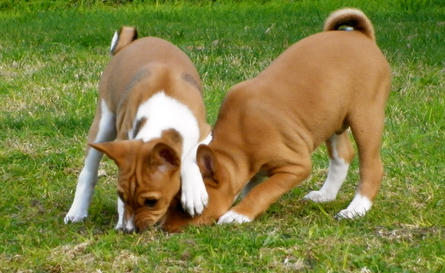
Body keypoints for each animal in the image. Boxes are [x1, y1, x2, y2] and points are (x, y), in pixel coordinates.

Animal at [63, 27, 212, 232]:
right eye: (121, 195)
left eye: (151, 202)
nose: (128, 229)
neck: (161, 116)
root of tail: (129, 45)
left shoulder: (205, 131)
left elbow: (191, 155)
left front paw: (193, 193)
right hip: (103, 123)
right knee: (88, 171)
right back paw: (77, 211)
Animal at [159, 8, 388, 232]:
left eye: (182, 208)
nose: (163, 227)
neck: (240, 139)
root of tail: (361, 36)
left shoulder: (296, 166)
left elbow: (261, 191)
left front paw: (239, 214)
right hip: (331, 120)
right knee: (343, 156)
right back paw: (325, 195)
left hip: (365, 118)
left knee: (371, 168)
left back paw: (355, 210)